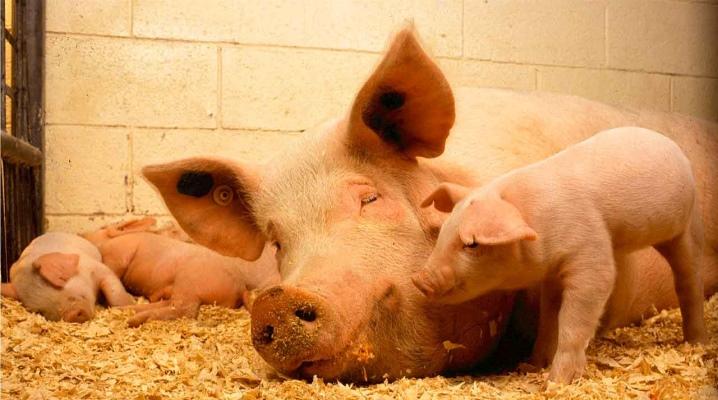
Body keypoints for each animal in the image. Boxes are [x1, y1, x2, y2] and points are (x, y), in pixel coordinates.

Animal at [0, 232, 134, 322]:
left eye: (60, 280)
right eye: (40, 311)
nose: (71, 315)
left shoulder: (97, 267)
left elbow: (113, 292)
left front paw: (130, 304)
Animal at [81, 217, 280, 327]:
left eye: (100, 229)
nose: (82, 234)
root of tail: (241, 288)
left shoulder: (119, 254)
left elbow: (114, 270)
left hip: (188, 282)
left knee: (185, 310)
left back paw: (133, 320)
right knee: (169, 304)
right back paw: (128, 312)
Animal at [411, 127, 706, 383]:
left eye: (472, 244)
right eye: (444, 231)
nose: (419, 279)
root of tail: (673, 146)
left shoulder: (591, 253)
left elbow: (575, 318)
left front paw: (556, 381)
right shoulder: (552, 275)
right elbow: (549, 318)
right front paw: (531, 365)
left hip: (684, 229)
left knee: (689, 280)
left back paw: (696, 342)